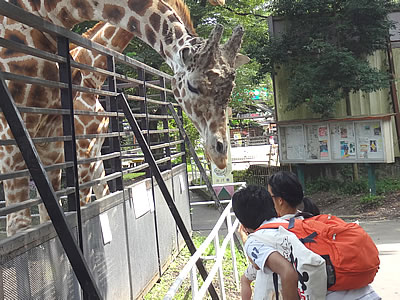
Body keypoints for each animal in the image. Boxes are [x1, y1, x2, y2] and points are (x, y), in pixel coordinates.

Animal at [0, 0, 247, 236]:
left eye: (231, 89)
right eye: (193, 86)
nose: (220, 154)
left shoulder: (70, 149)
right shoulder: (22, 142)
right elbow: (23, 225)